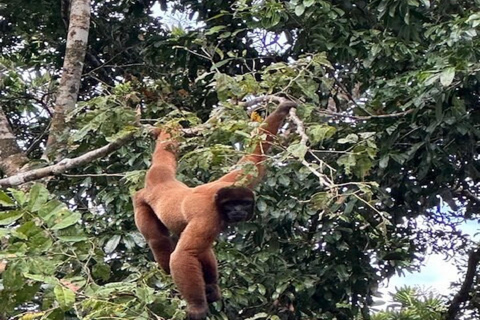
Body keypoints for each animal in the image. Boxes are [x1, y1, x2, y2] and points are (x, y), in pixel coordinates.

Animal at [133, 99, 294, 318]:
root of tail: (162, 182)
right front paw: (197, 308)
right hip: (141, 204)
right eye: (231, 205)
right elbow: (183, 254)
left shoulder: (237, 181)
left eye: (244, 203)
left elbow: (254, 157)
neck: (217, 200)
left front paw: (281, 110)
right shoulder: (208, 216)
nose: (238, 211)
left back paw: (211, 288)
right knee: (159, 240)